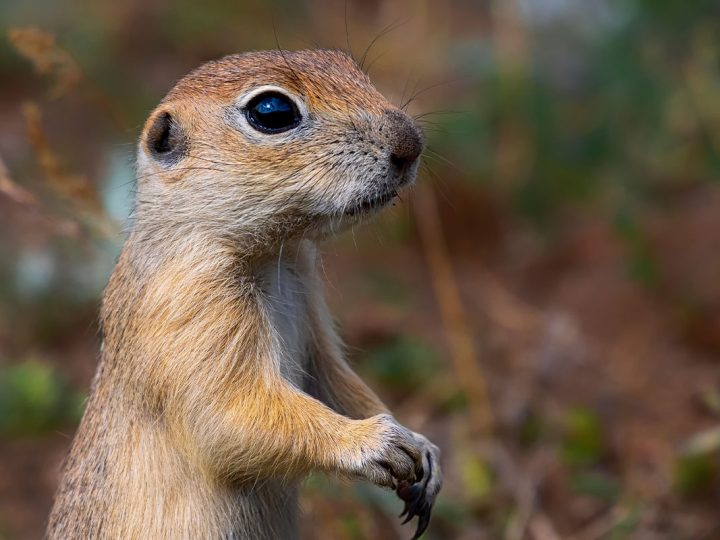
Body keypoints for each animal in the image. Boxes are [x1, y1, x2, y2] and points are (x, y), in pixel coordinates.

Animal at [47, 49, 442, 540]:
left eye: (348, 63)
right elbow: (231, 416)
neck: (274, 256)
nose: (411, 141)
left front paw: (422, 448)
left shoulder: (311, 314)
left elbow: (337, 382)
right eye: (271, 111)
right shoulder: (193, 306)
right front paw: (374, 442)